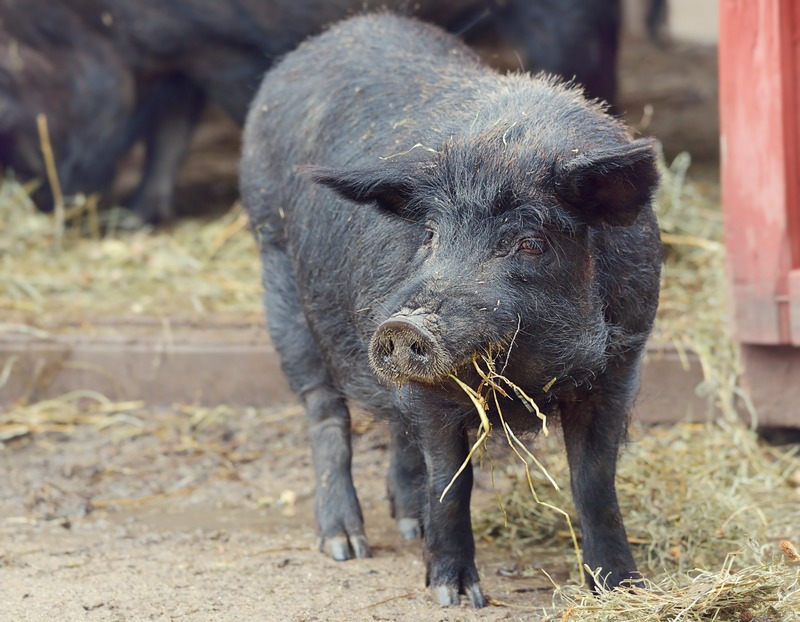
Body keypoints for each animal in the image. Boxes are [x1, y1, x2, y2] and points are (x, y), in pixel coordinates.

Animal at [1, 0, 622, 223]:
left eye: (7, 95)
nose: (35, 198)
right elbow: (171, 125)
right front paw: (138, 216)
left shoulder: (225, 49)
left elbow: (204, 113)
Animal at [240, 12, 661, 607]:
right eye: (431, 234)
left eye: (530, 243)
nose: (401, 325)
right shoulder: (433, 392)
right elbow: (451, 480)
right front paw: (455, 595)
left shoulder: (620, 362)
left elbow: (596, 481)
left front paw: (622, 587)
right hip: (276, 269)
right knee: (325, 412)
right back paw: (346, 545)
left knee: (393, 426)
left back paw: (407, 523)